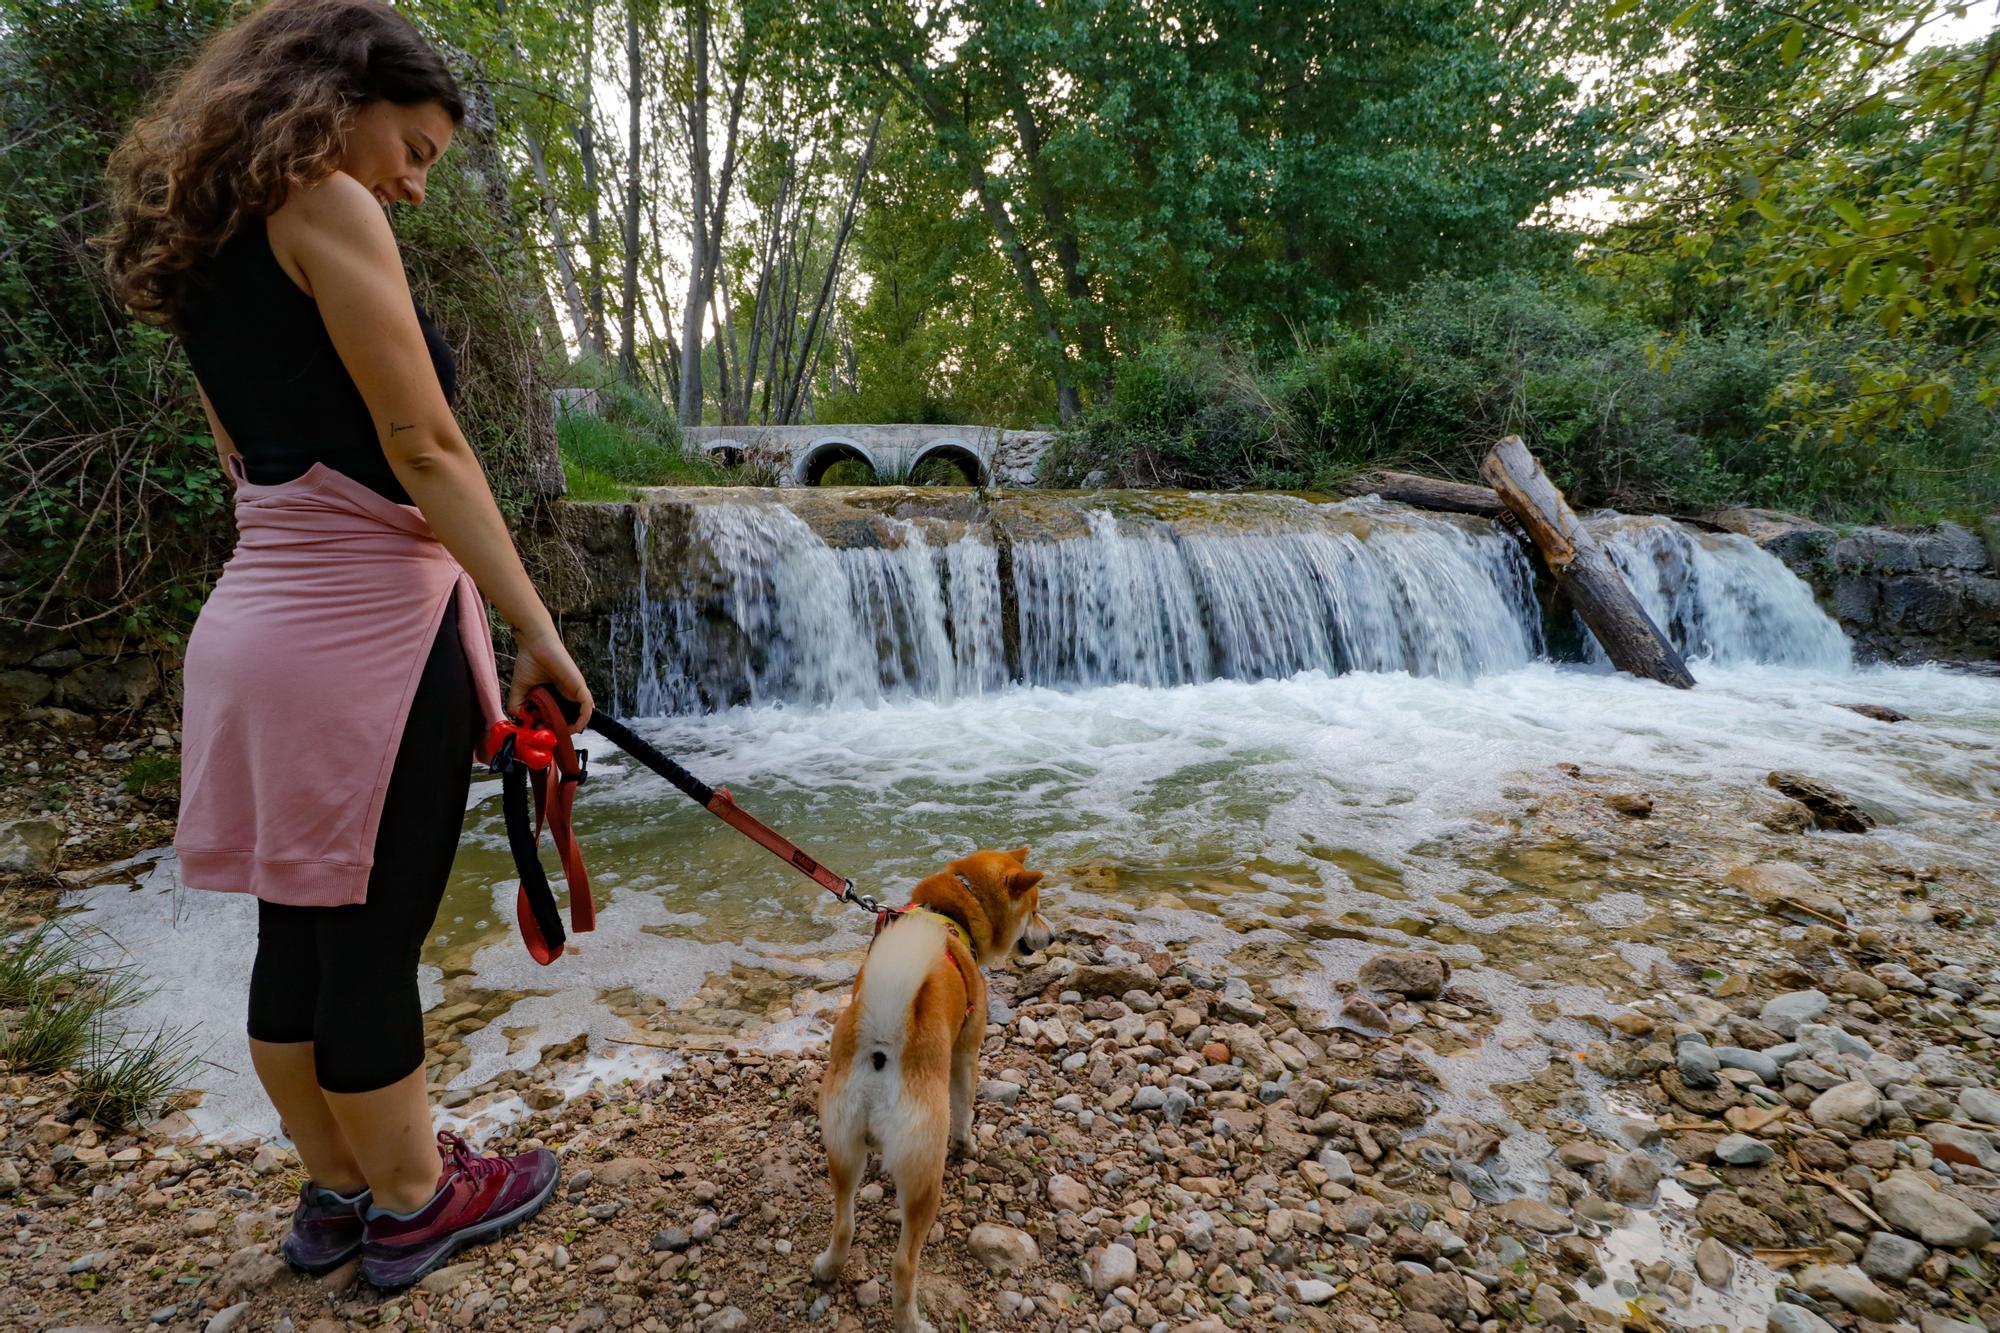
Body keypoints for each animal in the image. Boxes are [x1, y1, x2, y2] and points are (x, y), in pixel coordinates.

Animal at [812, 844, 1056, 1328]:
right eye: (1035, 910)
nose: (1053, 937)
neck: (952, 914)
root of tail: (882, 1044)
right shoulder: (965, 1051)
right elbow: (966, 1107)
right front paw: (968, 1146)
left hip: (843, 1150)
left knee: (843, 1224)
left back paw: (827, 1269)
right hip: (925, 1174)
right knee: (904, 1264)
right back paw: (912, 1322)